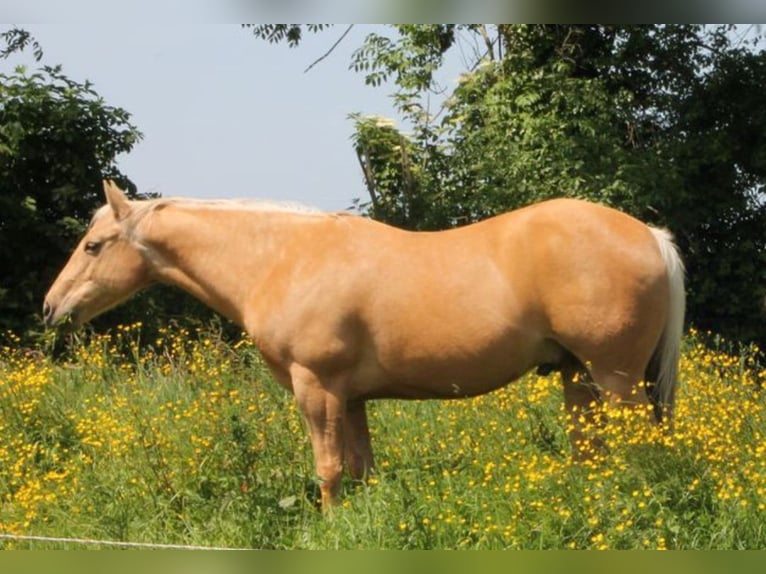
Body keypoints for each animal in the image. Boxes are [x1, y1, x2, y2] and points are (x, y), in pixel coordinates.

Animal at [45, 182, 688, 510]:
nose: (52, 309)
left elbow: (328, 471)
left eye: (94, 245)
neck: (282, 258)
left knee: (639, 452)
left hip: (615, 378)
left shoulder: (317, 386)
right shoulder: (350, 398)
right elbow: (360, 471)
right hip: (578, 375)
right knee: (591, 452)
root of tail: (650, 235)